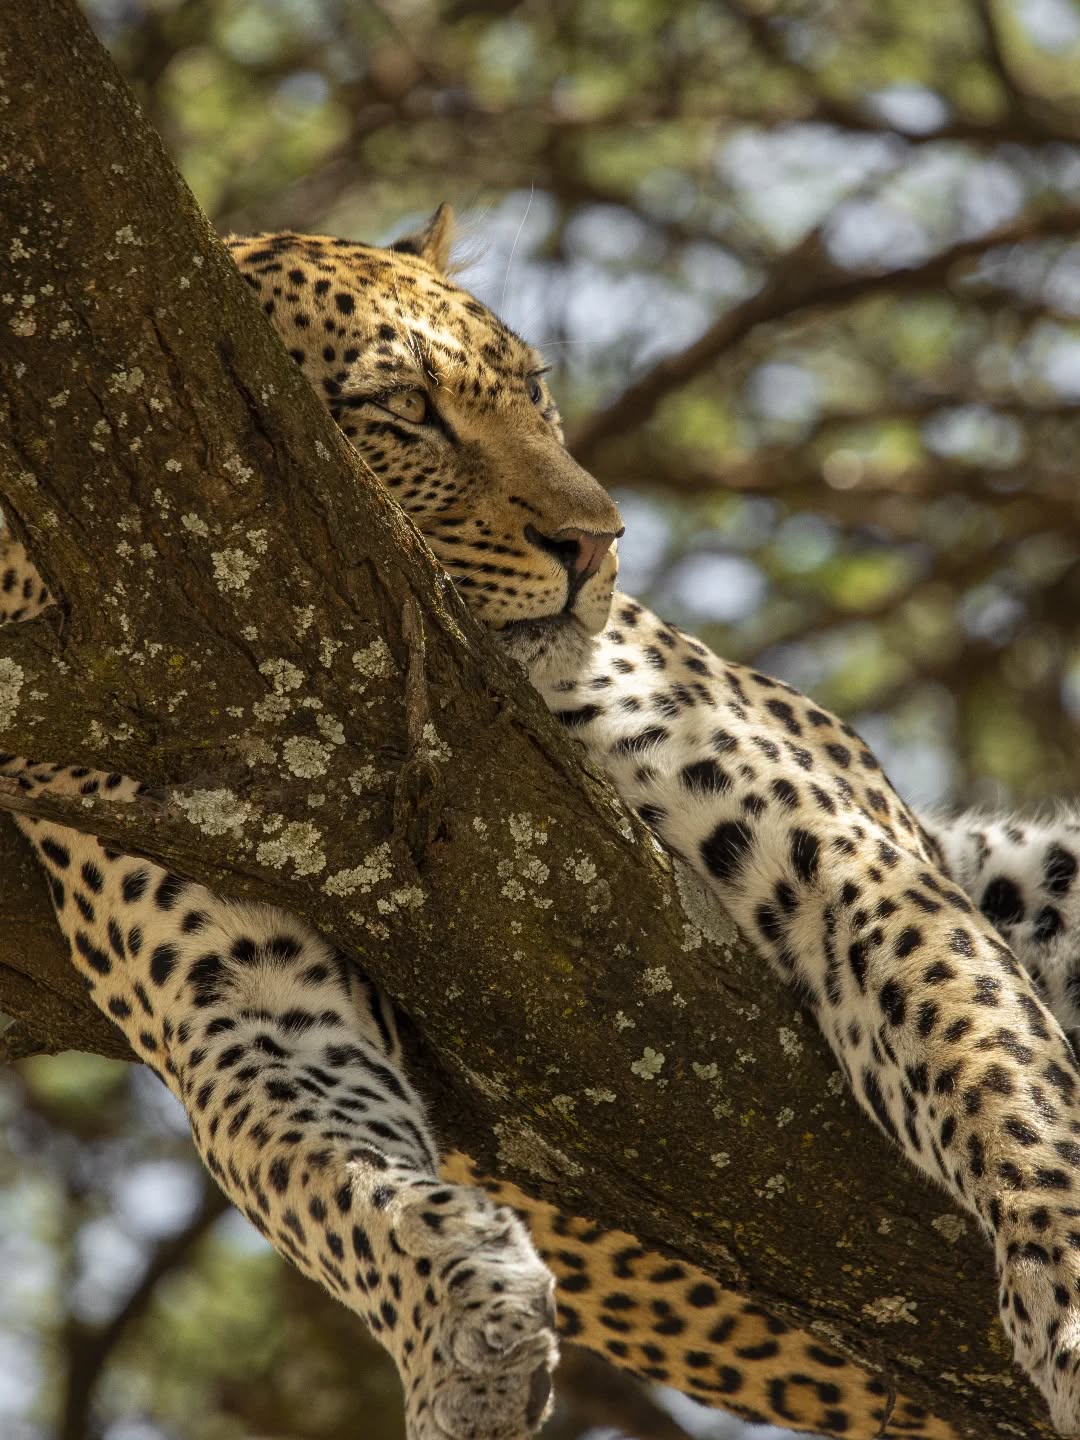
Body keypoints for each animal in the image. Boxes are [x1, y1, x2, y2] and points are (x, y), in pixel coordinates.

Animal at [5, 203, 1080, 1440]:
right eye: (404, 409)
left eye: (534, 394)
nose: (599, 541)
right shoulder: (233, 983)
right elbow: (321, 1169)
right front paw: (462, 1321)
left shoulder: (845, 852)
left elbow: (991, 1066)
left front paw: (1068, 1295)